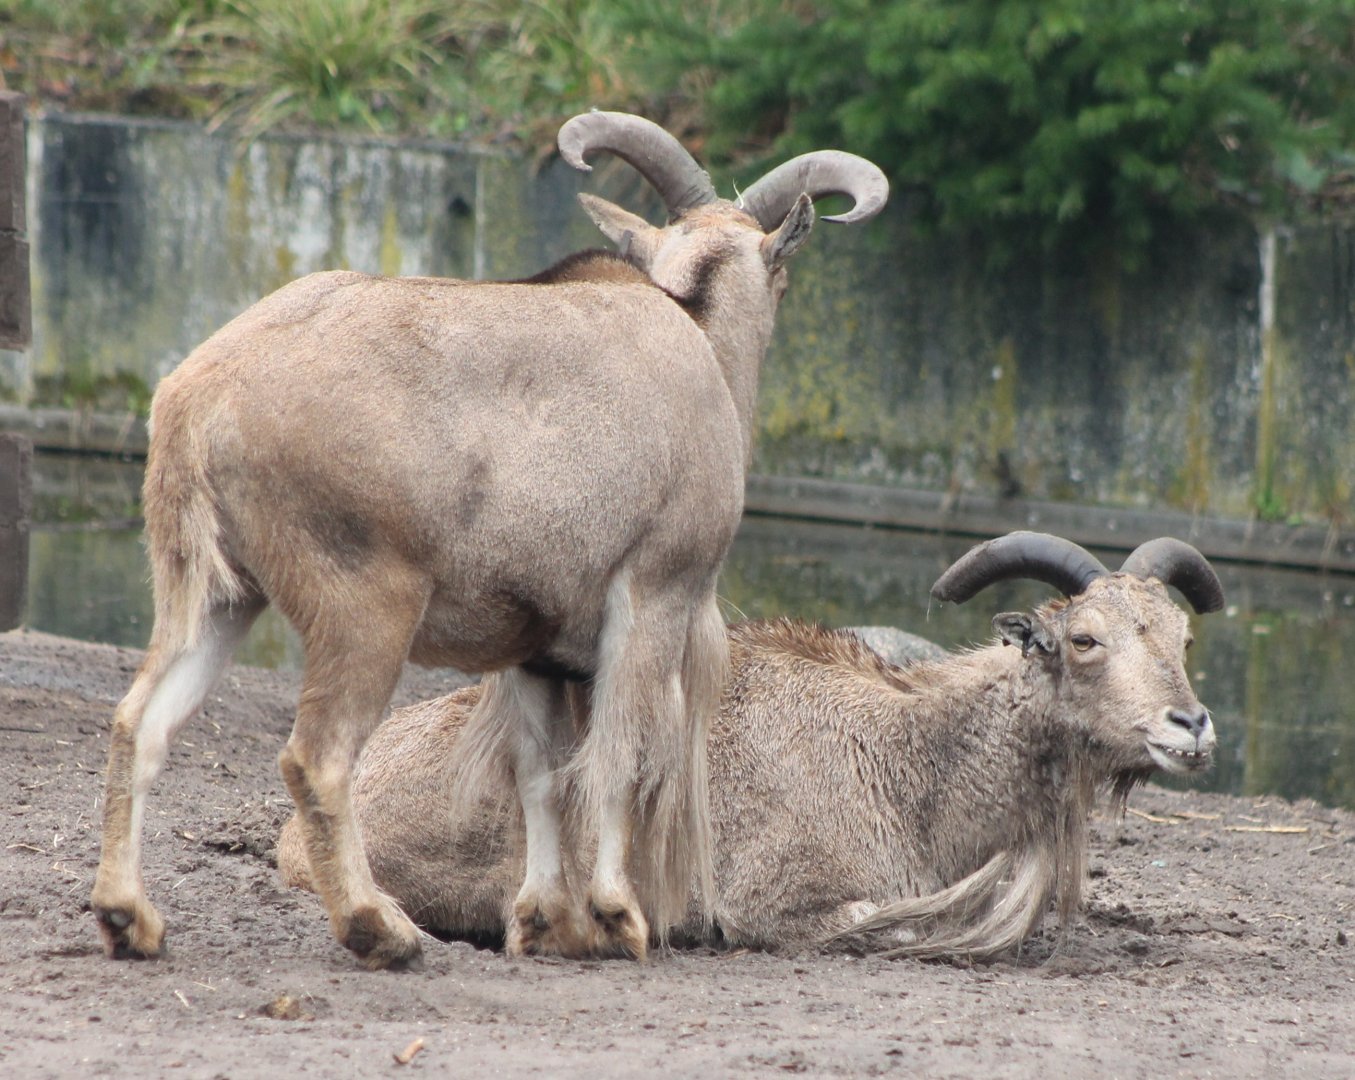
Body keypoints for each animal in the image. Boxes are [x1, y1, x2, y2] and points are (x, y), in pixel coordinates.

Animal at [90, 111, 889, 969]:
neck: (693, 334)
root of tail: (204, 394)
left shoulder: (535, 651)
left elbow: (539, 776)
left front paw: (543, 923)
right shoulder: (655, 593)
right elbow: (617, 758)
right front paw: (617, 918)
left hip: (212, 592)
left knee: (140, 721)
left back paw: (128, 917)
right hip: (365, 607)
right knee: (318, 757)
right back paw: (379, 928)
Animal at [276, 531, 1225, 959]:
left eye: (1181, 637)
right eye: (1084, 640)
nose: (1190, 726)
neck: (906, 765)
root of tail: (292, 834)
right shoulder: (779, 901)